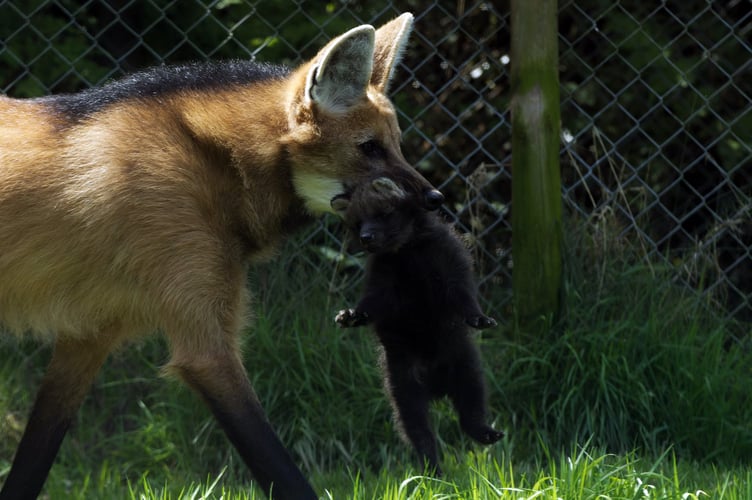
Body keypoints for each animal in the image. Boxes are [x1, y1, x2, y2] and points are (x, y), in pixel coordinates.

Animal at [0, 13, 440, 498]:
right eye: (369, 148)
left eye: (396, 144)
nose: (435, 198)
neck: (216, 159)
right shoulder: (205, 346)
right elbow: (277, 465)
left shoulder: (87, 337)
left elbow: (33, 460)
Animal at [334, 179, 500, 472]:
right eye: (358, 222)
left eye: (384, 213)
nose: (366, 237)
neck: (406, 249)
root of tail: (436, 386)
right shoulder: (384, 280)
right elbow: (372, 303)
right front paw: (352, 315)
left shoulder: (448, 262)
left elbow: (462, 293)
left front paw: (478, 317)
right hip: (403, 383)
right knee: (418, 429)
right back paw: (431, 466)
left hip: (464, 364)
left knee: (471, 405)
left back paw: (483, 432)